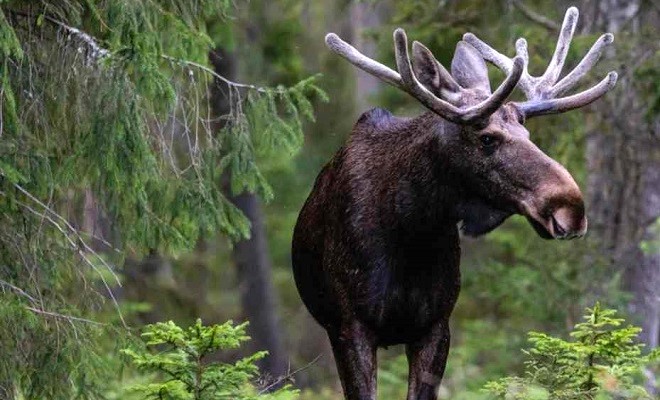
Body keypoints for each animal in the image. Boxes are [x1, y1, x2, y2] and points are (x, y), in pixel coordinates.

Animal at [291, 7, 616, 400]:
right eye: (487, 138)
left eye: (527, 133)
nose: (572, 208)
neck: (411, 230)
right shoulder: (350, 326)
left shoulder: (436, 325)